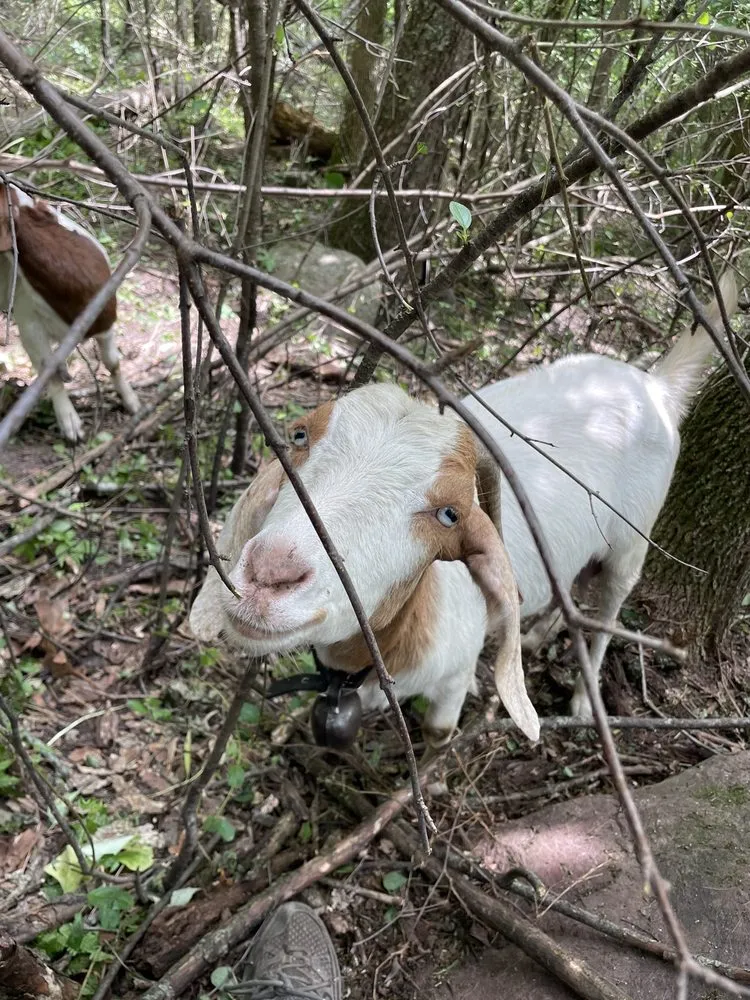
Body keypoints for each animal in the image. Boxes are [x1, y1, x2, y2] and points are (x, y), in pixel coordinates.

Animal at [0, 183, 139, 441]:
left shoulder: (105, 320)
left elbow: (113, 362)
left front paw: (133, 402)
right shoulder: (29, 325)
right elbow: (48, 370)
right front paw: (70, 423)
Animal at [189, 273, 738, 743]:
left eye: (450, 513)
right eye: (300, 436)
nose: (269, 574)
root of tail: (656, 387)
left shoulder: (451, 677)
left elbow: (438, 731)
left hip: (632, 540)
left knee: (611, 600)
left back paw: (585, 700)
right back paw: (538, 634)